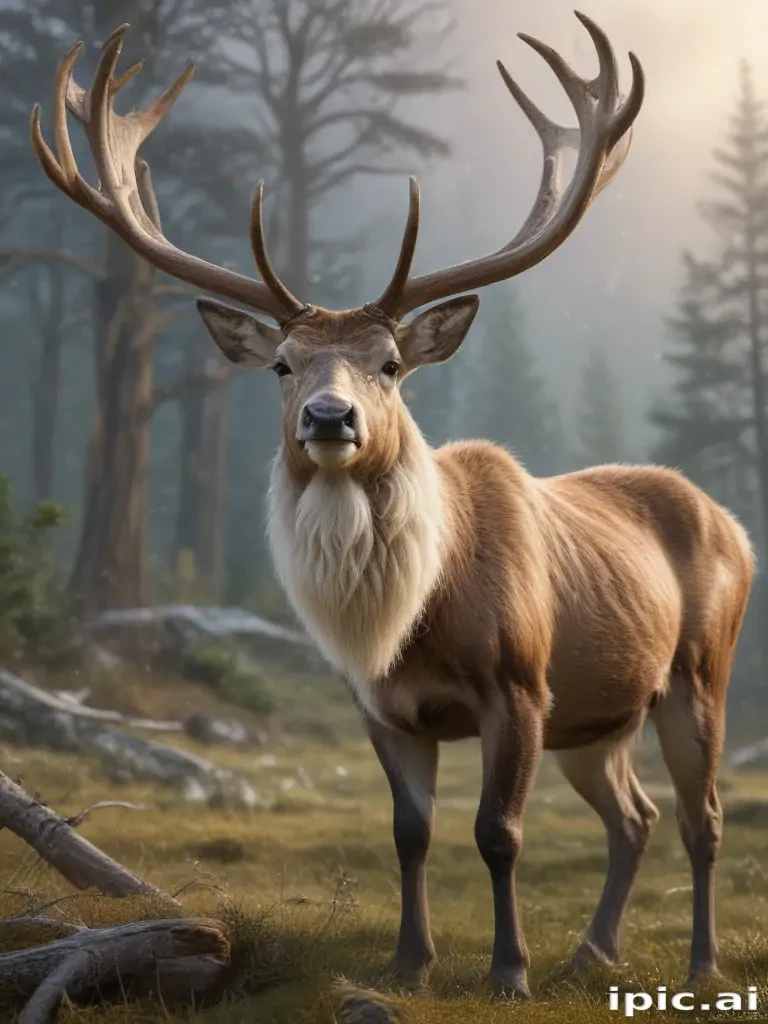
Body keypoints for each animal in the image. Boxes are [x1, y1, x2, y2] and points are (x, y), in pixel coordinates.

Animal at [32, 13, 754, 1001]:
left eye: (391, 363)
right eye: (282, 364)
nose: (328, 418)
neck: (415, 619)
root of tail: (734, 525)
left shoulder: (519, 684)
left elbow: (498, 834)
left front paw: (507, 973)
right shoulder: (380, 706)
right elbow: (410, 834)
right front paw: (411, 963)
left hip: (696, 672)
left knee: (702, 816)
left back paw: (701, 959)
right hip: (596, 716)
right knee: (634, 815)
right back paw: (593, 951)